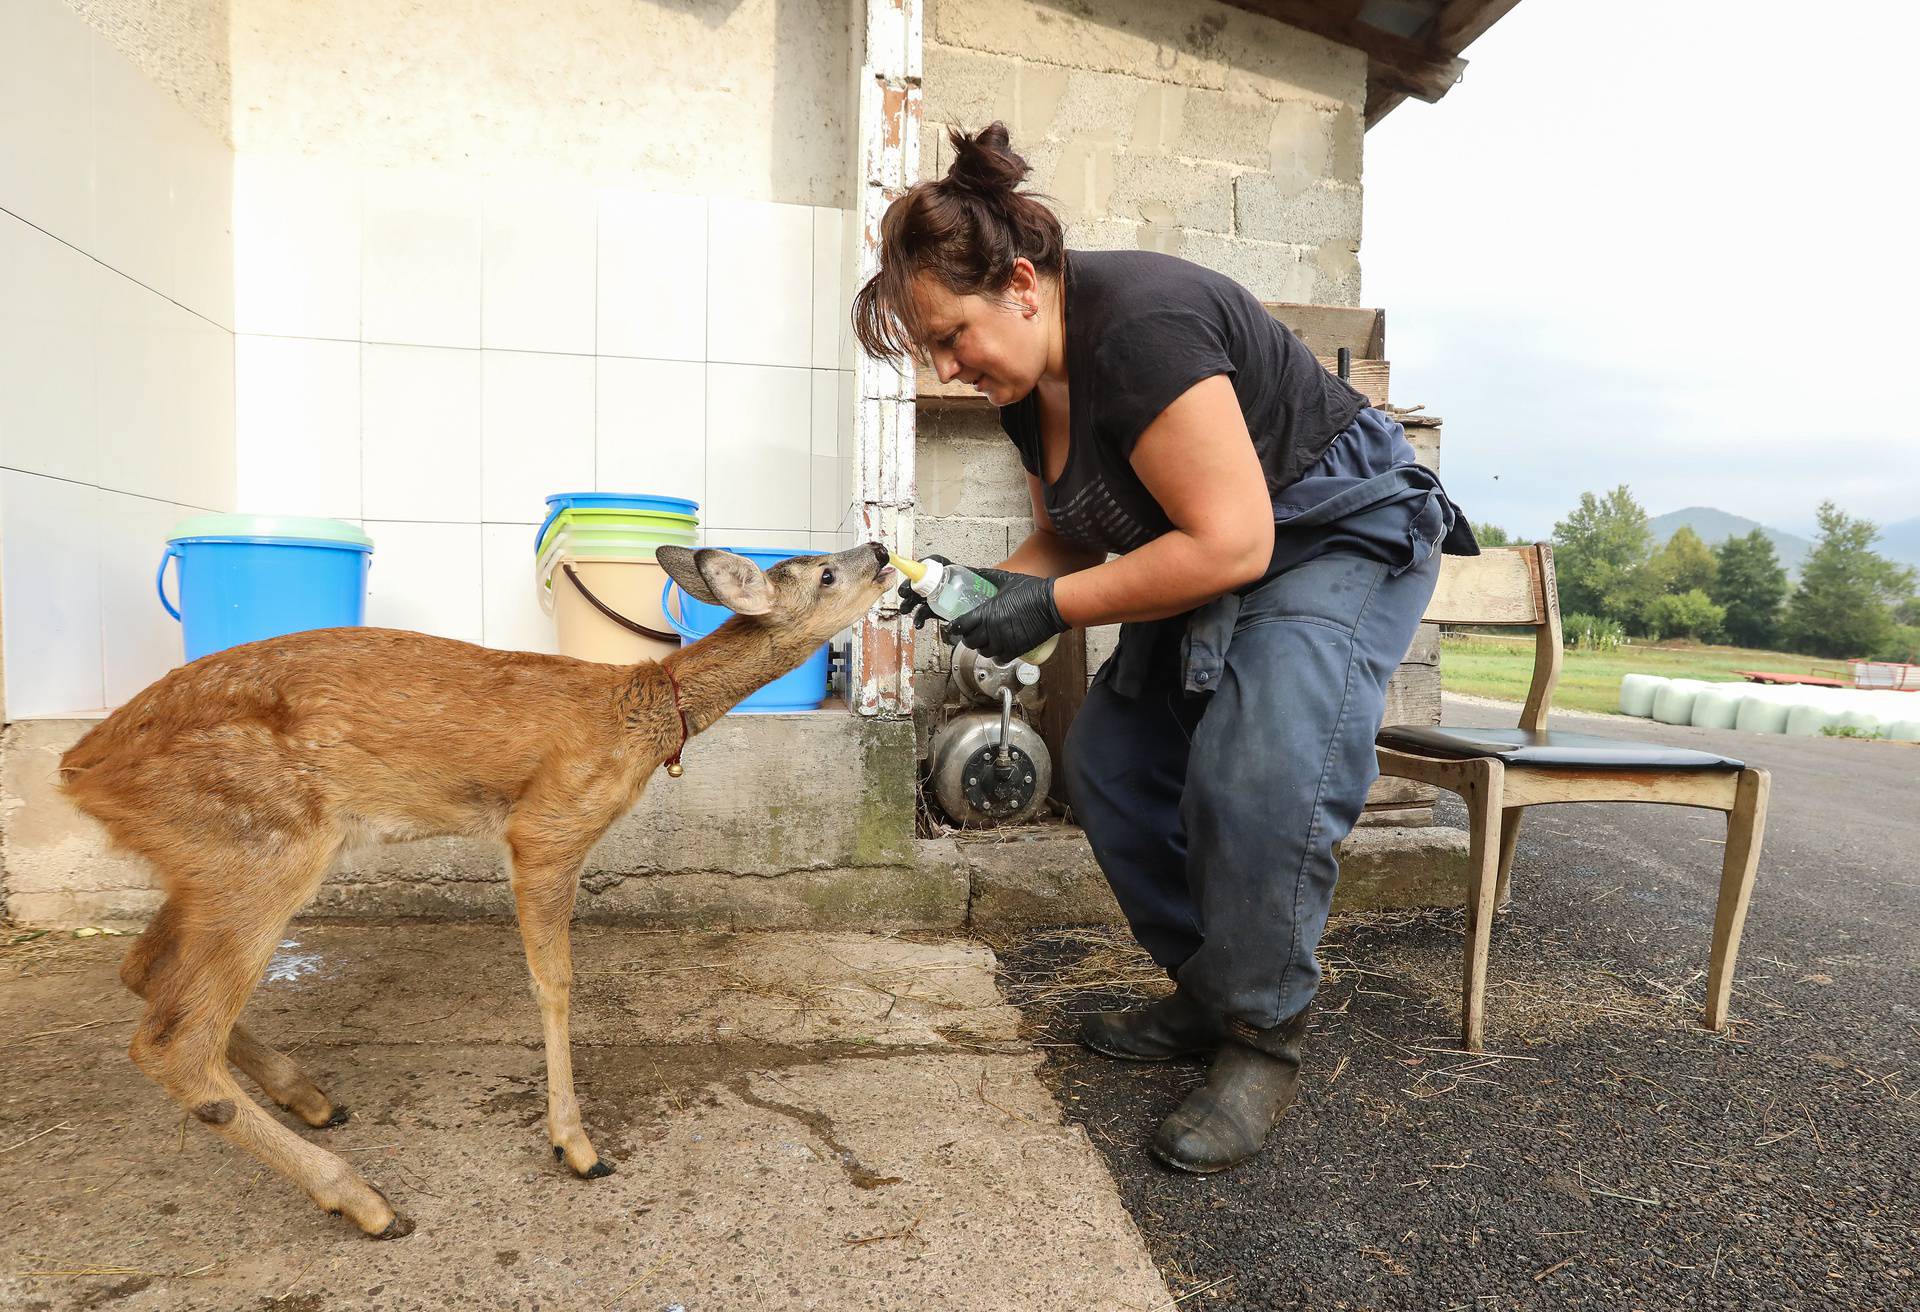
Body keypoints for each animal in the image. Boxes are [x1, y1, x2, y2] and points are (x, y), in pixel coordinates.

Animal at [56, 545, 894, 1244]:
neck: (635, 719)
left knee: (142, 970)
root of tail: (78, 769)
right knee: (173, 1040)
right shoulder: (548, 826)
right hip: (259, 845)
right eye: (825, 573)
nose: (884, 550)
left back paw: (312, 1097)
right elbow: (555, 982)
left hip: (205, 860)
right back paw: (365, 1200)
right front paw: (576, 1145)